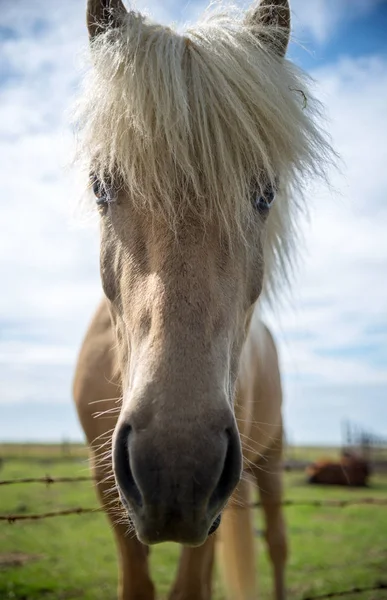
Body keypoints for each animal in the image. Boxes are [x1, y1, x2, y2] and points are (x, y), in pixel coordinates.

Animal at [72, 2, 330, 596]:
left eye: (265, 195)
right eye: (100, 187)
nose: (176, 468)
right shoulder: (105, 484)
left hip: (270, 460)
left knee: (277, 545)